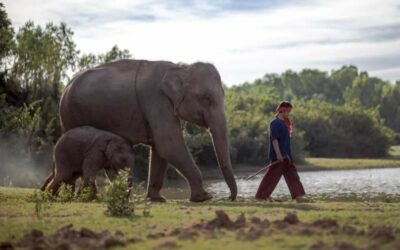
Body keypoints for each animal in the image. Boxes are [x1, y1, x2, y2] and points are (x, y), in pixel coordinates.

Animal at [60, 59, 238, 202]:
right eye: (206, 99)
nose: (229, 198)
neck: (180, 68)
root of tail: (66, 87)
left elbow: (160, 150)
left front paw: (157, 199)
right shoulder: (156, 101)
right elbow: (169, 145)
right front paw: (204, 198)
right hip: (72, 115)